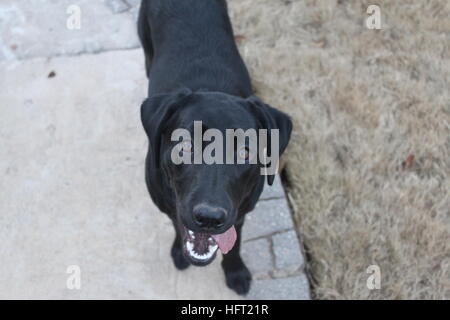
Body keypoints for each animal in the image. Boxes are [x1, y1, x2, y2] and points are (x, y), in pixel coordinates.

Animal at [137, 0, 292, 296]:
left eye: (245, 152)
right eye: (185, 146)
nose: (209, 218)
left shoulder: (240, 211)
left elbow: (234, 242)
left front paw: (235, 271)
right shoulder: (169, 205)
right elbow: (178, 224)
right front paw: (180, 250)